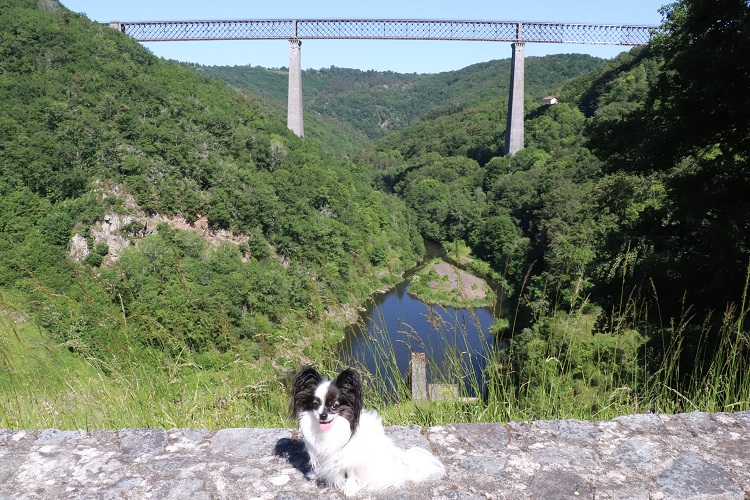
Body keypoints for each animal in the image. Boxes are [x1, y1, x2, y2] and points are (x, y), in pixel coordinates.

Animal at [292, 366, 446, 498]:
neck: (332, 428)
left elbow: (351, 472)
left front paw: (349, 488)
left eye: (335, 406)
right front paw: (315, 473)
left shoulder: (352, 456)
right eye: (315, 404)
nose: (323, 415)